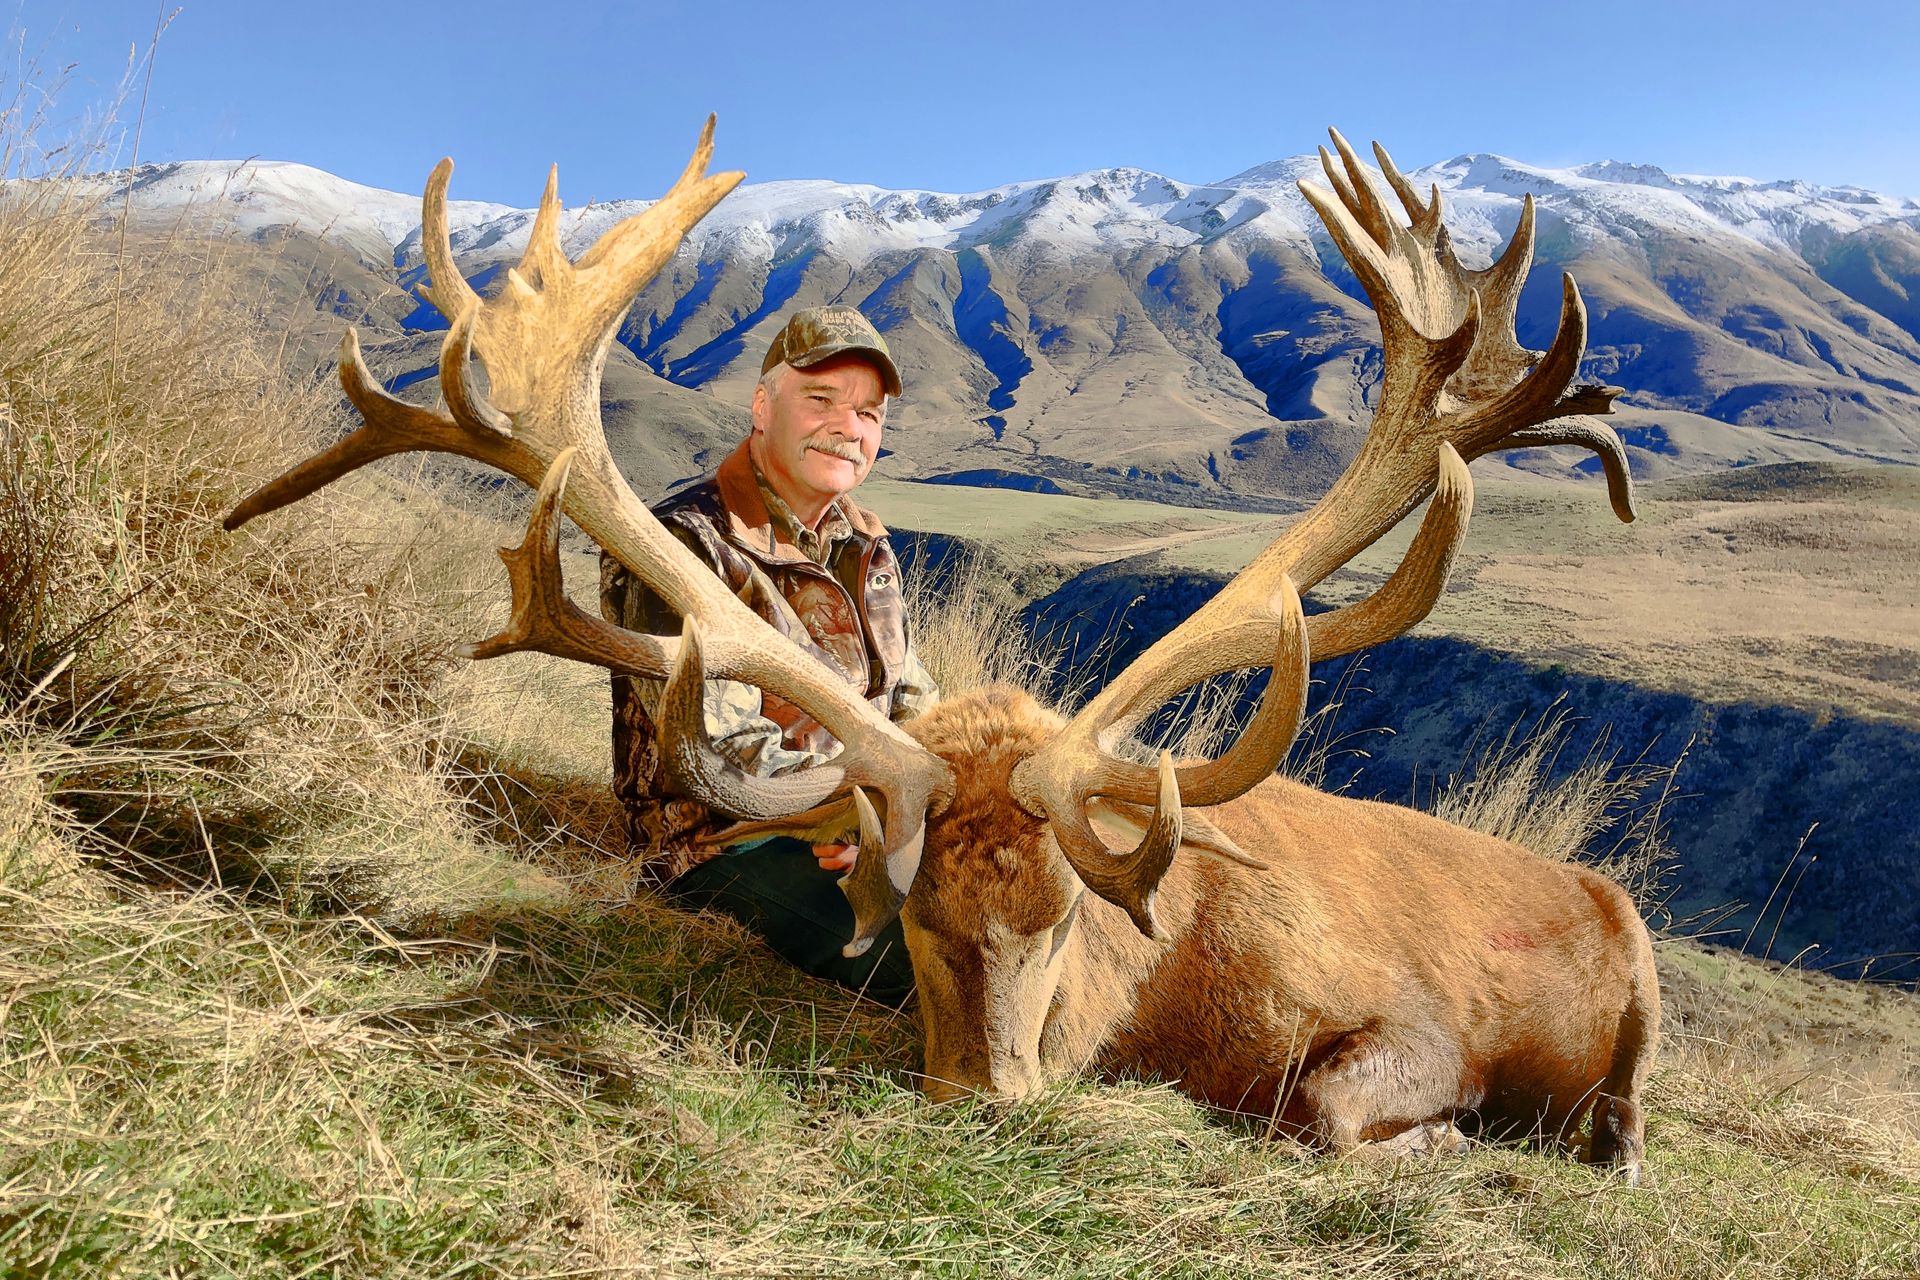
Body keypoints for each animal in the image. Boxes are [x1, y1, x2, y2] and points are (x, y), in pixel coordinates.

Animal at [225, 120, 1660, 1182]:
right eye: (909, 923)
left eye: (1071, 913)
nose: (988, 1096)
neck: (1171, 1005)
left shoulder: (1411, 1014)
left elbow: (1327, 1107)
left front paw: (1448, 1138)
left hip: (1639, 977)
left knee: (1626, 1099)